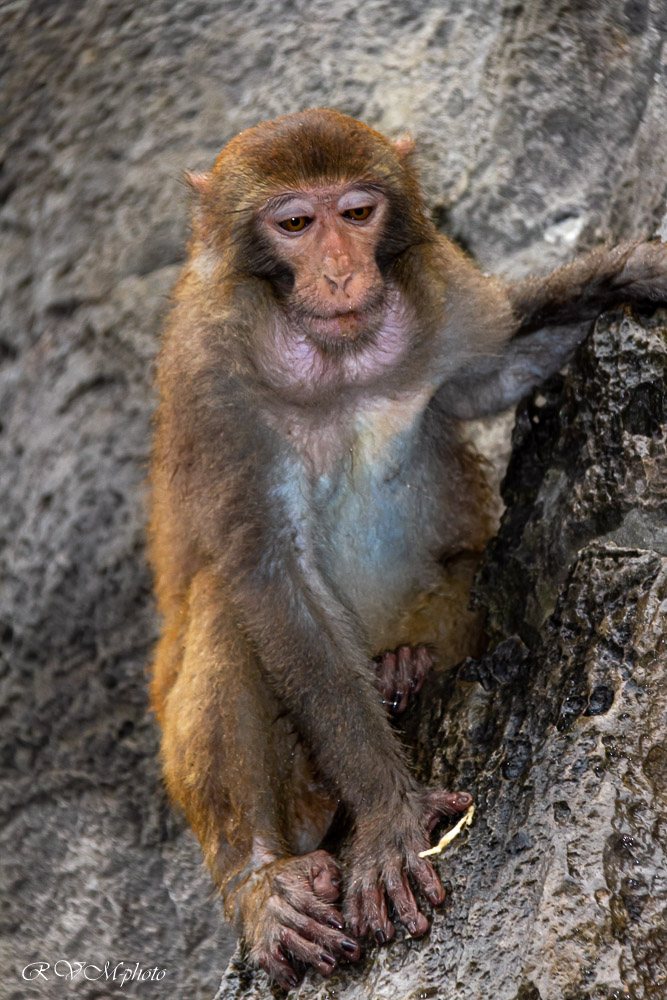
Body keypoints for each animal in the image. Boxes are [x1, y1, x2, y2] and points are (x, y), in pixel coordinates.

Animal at [149, 108, 667, 990]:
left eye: (357, 213)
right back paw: (260, 879)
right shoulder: (209, 371)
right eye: (295, 224)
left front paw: (631, 270)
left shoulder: (440, 297)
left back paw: (402, 667)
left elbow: (497, 368)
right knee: (226, 603)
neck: (339, 362)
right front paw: (389, 818)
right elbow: (270, 573)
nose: (339, 270)